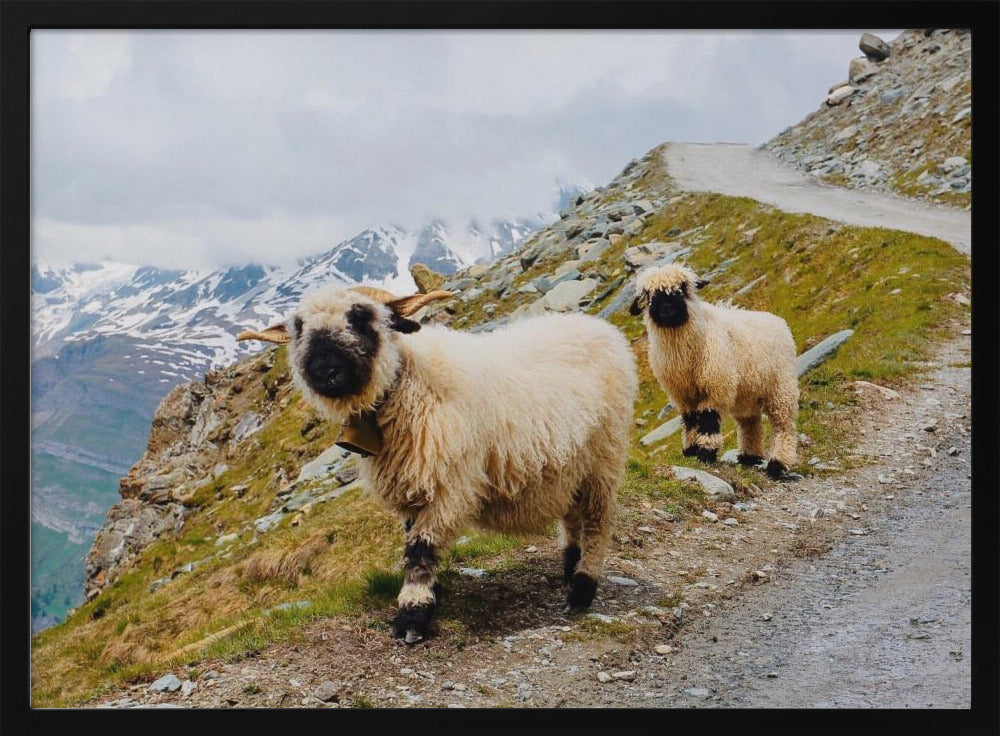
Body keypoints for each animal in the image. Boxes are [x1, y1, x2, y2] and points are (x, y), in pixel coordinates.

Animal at [240, 288, 640, 644]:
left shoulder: (448, 487)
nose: (325, 371)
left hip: (604, 457)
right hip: (570, 465)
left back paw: (582, 590)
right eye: (298, 329)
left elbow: (421, 550)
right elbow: (411, 541)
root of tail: (599, 327)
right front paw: (429, 596)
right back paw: (570, 566)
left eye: (360, 317)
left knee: (597, 523)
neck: (406, 384)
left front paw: (412, 616)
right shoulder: (414, 489)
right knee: (573, 516)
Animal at [628, 264, 800, 484]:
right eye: (649, 295)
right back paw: (749, 458)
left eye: (682, 288)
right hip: (747, 394)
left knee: (783, 427)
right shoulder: (682, 394)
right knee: (750, 424)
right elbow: (690, 420)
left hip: (781, 388)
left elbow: (708, 420)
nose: (667, 308)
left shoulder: (715, 386)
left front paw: (706, 452)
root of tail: (779, 322)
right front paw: (691, 449)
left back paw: (777, 464)